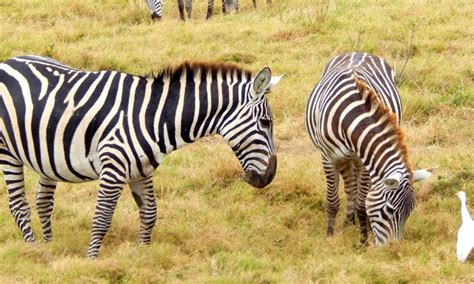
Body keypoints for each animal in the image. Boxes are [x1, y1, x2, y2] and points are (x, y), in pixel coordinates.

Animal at [0, 55, 282, 258]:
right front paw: (91, 260)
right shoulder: (113, 167)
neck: (153, 116)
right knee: (18, 205)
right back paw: (34, 249)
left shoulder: (142, 168)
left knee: (43, 202)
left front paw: (141, 254)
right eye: (265, 123)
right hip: (7, 151)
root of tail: (7, 62)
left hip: (46, 157)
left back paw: (49, 246)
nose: (269, 177)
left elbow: (150, 213)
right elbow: (102, 217)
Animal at [306, 52, 436, 244]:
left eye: (409, 212)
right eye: (389, 210)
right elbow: (332, 200)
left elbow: (362, 202)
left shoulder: (364, 160)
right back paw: (347, 221)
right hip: (344, 158)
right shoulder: (328, 157)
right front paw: (329, 235)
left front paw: (363, 240)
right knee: (350, 186)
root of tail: (358, 52)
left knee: (355, 187)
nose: (393, 247)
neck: (351, 120)